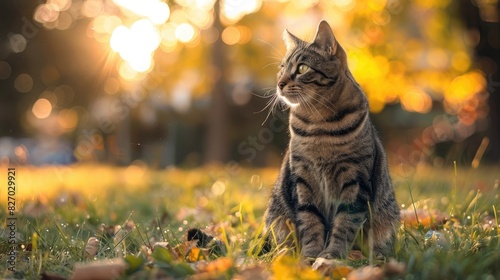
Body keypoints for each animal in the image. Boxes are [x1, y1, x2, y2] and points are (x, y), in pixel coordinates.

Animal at [264, 21, 400, 262]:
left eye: (302, 68)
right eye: (281, 68)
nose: (279, 83)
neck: (319, 123)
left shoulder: (355, 179)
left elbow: (345, 223)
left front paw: (332, 255)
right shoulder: (303, 177)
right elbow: (310, 221)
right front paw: (310, 257)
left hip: (386, 219)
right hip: (277, 218)